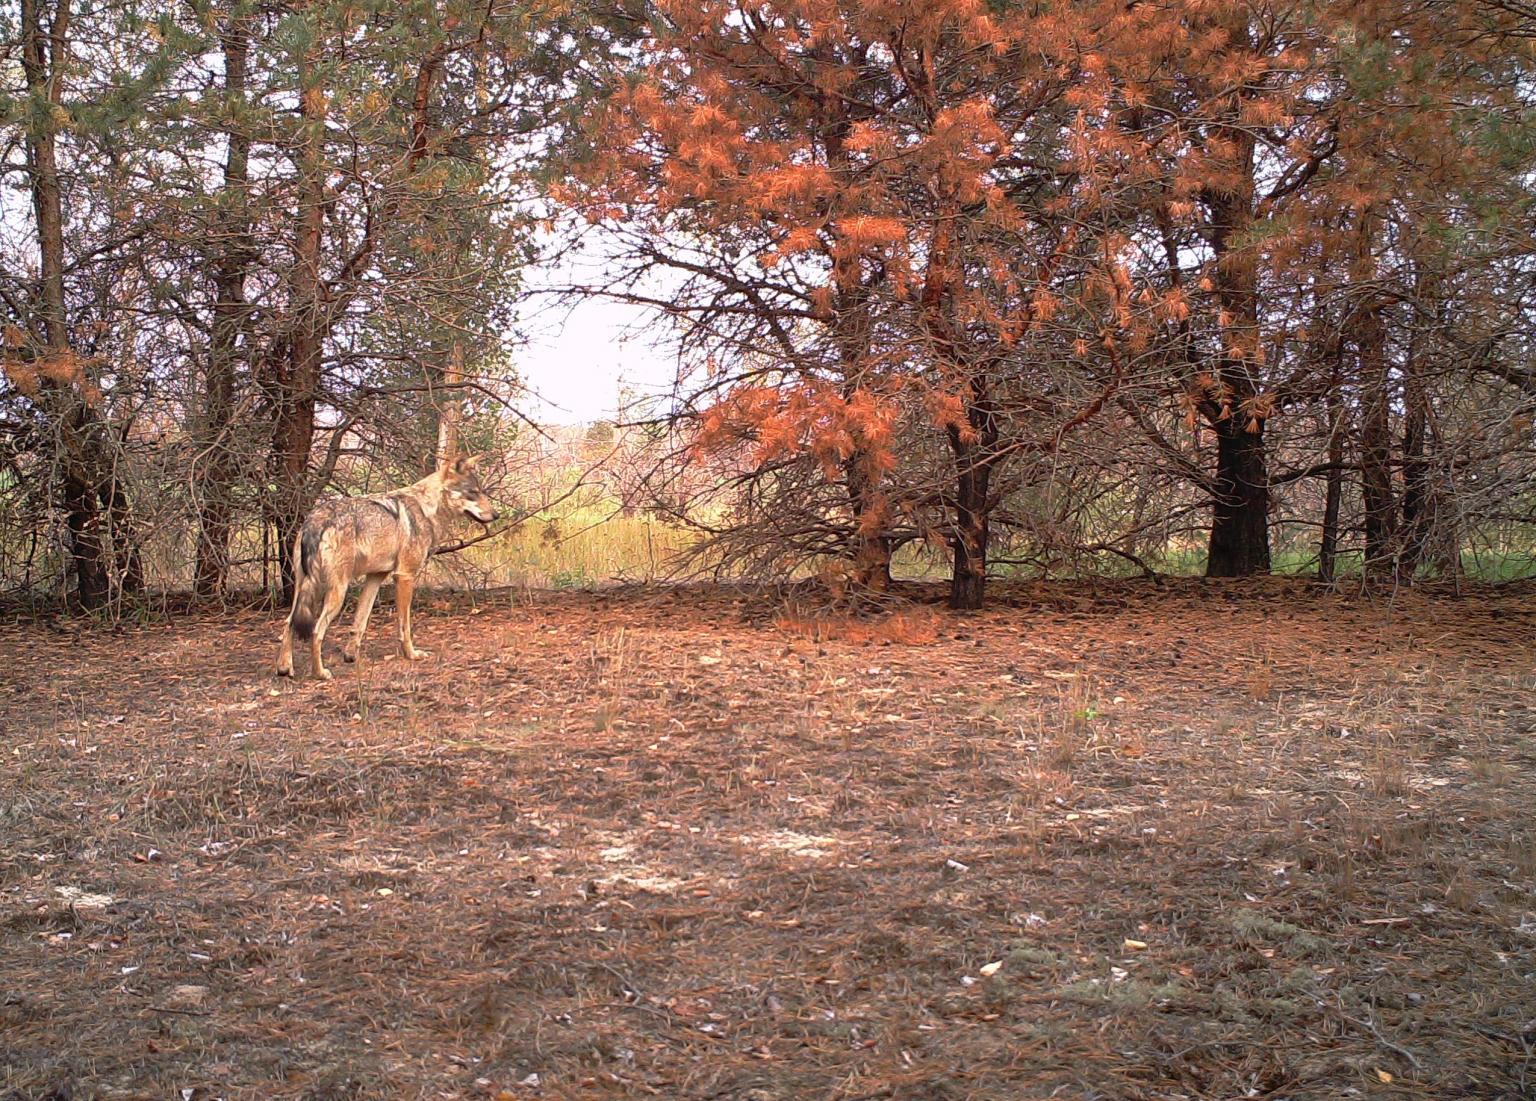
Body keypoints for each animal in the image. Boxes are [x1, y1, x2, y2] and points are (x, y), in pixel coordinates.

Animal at [273, 454, 494, 678]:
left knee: (288, 623)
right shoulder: (404, 576)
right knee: (316, 630)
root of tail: (316, 519)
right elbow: (404, 626)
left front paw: (351, 656)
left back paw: (284, 668)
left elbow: (360, 623)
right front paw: (411, 654)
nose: (496, 515)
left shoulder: (375, 577)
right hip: (336, 592)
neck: (426, 508)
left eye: (481, 491)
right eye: (473, 493)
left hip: (305, 589)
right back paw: (320, 673)